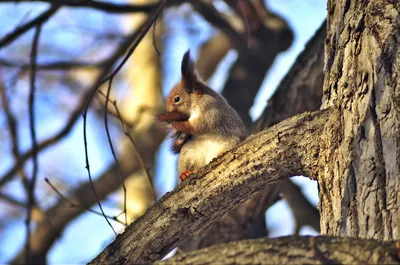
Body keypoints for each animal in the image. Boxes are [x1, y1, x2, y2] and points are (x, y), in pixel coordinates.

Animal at [159, 49, 247, 182]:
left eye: (176, 99)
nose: (168, 111)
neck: (195, 103)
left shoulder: (211, 111)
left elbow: (200, 125)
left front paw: (178, 124)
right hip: (187, 153)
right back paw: (184, 174)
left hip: (232, 141)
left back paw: (222, 153)